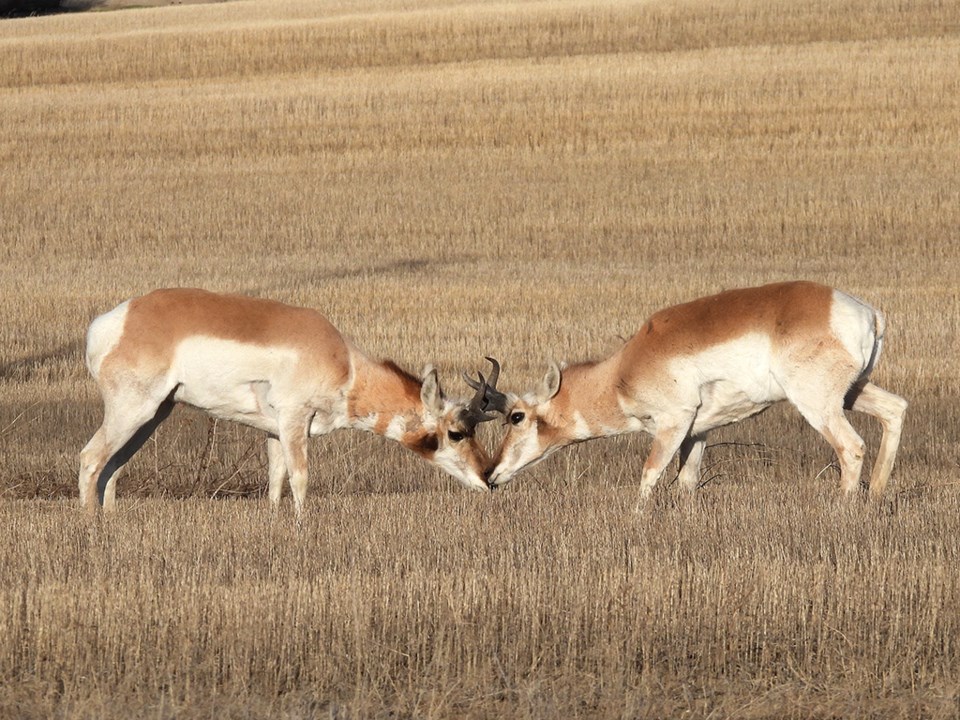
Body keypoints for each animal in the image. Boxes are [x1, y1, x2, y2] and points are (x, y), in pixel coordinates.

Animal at [79, 286, 498, 512]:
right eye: (456, 432)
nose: (489, 479)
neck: (343, 363)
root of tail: (115, 321)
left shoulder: (275, 431)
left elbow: (275, 480)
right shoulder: (295, 420)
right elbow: (300, 477)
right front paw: (302, 526)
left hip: (153, 416)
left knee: (112, 465)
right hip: (133, 411)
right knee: (90, 458)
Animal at [480, 278, 908, 504]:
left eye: (516, 417)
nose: (489, 474)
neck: (622, 369)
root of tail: (866, 312)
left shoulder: (674, 423)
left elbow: (650, 474)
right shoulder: (698, 433)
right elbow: (687, 482)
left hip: (819, 404)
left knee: (851, 446)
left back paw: (842, 508)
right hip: (854, 392)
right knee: (896, 409)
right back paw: (876, 496)